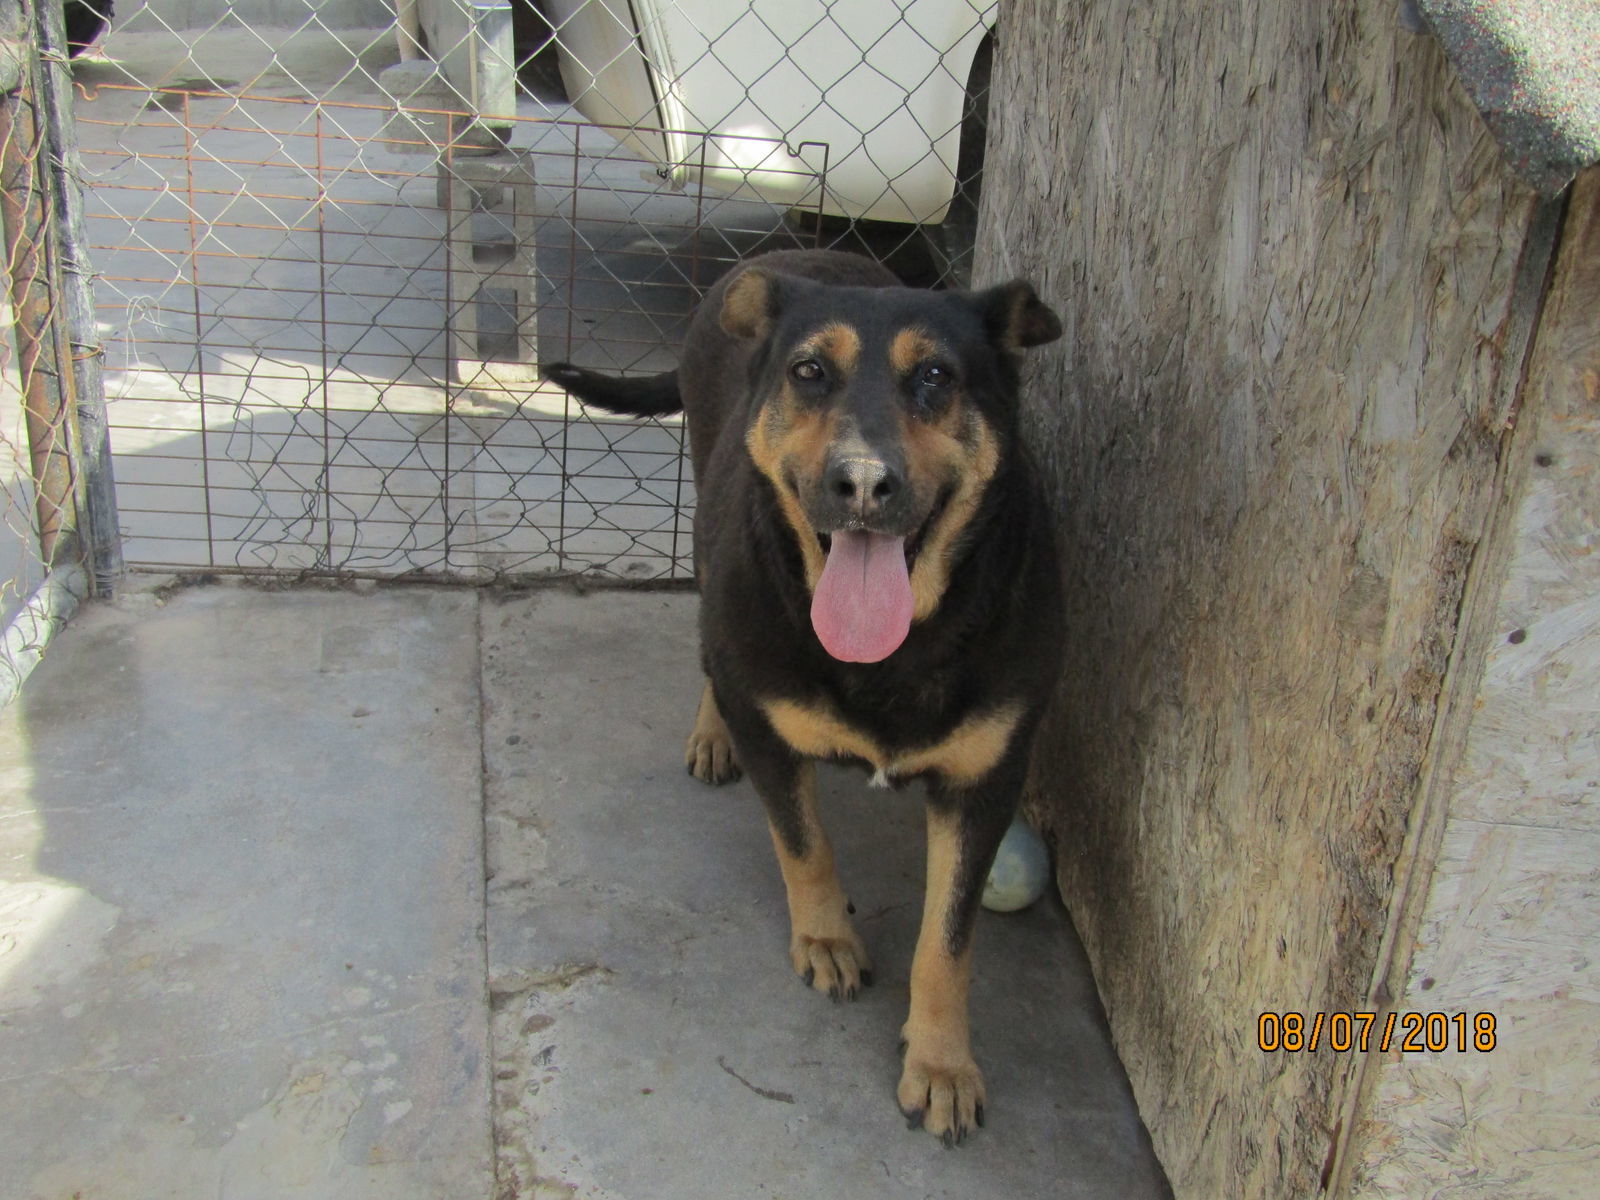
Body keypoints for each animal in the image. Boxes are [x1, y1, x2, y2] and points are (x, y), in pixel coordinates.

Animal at [547, 251, 1062, 1145]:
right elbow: (804, 843)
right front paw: (826, 937)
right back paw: (710, 733)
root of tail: (768, 262)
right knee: (712, 645)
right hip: (711, 532)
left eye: (936, 376)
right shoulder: (768, 725)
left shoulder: (986, 783)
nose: (860, 482)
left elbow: (948, 939)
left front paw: (941, 1063)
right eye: (810, 372)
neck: (895, 647)